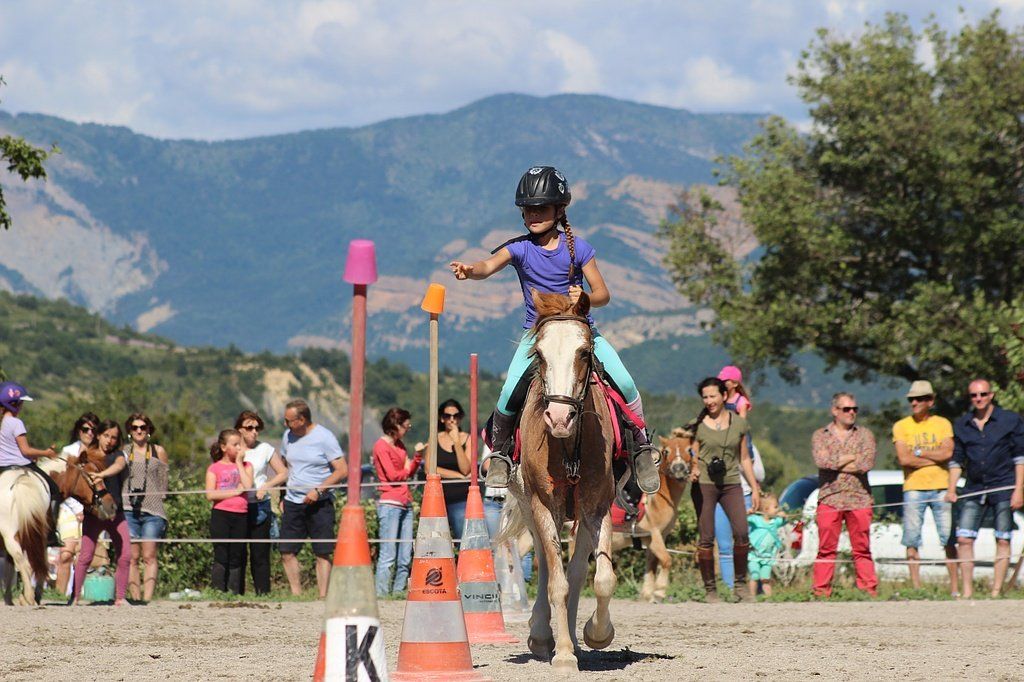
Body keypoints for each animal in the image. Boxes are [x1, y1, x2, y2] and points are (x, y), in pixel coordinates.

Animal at [0, 453, 116, 605]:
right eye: (93, 476)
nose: (112, 506)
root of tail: (21, 480)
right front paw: (33, 595)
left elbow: (11, 568)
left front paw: (11, 598)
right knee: (24, 563)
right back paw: (29, 597)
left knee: (21, 561)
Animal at [500, 290, 617, 672]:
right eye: (538, 354)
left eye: (584, 352)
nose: (559, 417)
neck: (568, 445)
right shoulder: (542, 504)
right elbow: (556, 582)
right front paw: (563, 653)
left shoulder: (598, 505)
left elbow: (600, 579)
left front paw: (596, 634)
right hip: (529, 505)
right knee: (541, 558)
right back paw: (541, 635)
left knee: (577, 570)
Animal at [609, 428, 695, 602]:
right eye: (666, 451)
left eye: (689, 450)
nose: (679, 469)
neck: (659, 497)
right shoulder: (654, 533)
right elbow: (666, 560)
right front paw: (659, 591)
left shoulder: (654, 537)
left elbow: (651, 564)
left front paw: (648, 593)